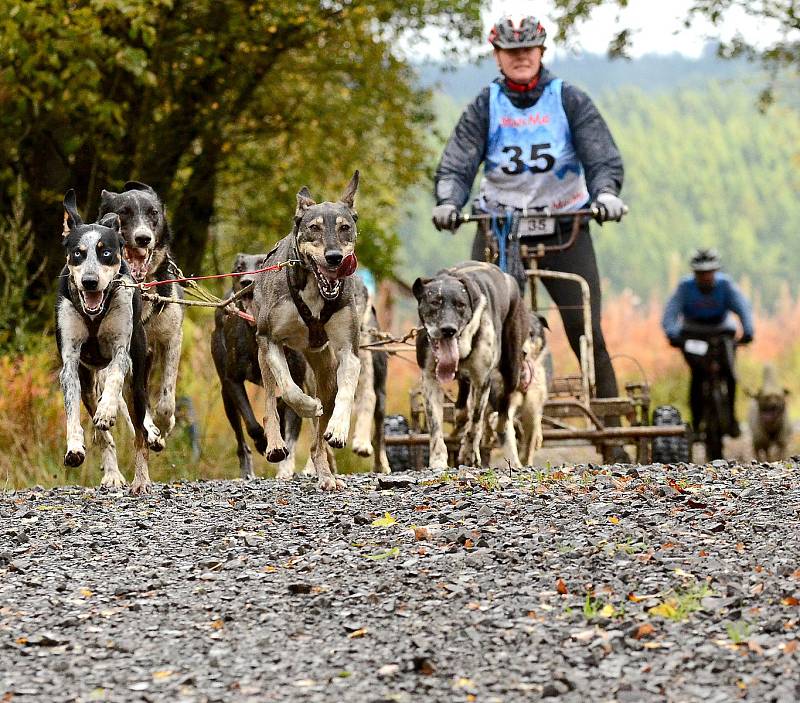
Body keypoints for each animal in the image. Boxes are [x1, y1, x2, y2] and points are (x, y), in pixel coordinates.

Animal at [55, 190, 154, 492]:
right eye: (78, 253)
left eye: (106, 252)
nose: (90, 281)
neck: (94, 315)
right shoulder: (70, 363)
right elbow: (72, 411)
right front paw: (74, 445)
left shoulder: (122, 351)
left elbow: (115, 376)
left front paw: (108, 409)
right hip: (88, 382)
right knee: (103, 435)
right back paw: (112, 473)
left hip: (138, 388)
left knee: (139, 433)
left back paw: (141, 480)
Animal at [97, 182, 184, 446]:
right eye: (123, 212)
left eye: (153, 213)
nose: (143, 238)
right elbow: (129, 398)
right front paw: (152, 429)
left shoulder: (172, 337)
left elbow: (166, 398)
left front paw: (164, 424)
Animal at [250, 172, 362, 490]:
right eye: (314, 228)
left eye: (345, 227)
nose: (335, 257)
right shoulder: (271, 340)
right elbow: (288, 390)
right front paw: (308, 406)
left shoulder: (349, 352)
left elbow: (347, 391)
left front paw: (338, 428)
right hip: (263, 356)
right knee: (271, 402)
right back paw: (277, 443)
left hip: (325, 372)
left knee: (317, 440)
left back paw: (325, 473)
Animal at [412, 262, 532, 470]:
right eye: (435, 302)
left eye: (461, 305)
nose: (448, 330)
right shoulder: (429, 379)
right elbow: (435, 425)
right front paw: (438, 459)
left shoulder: (482, 379)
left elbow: (476, 421)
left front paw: (469, 453)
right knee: (463, 402)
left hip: (511, 370)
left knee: (503, 413)